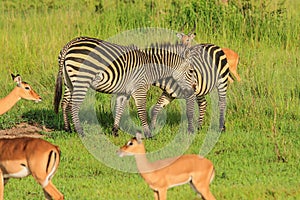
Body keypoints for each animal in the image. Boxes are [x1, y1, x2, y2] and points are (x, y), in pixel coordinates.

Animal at [54, 36, 197, 138]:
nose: (194, 89)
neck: (150, 67)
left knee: (65, 103)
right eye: (191, 71)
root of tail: (69, 44)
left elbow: (119, 109)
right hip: (82, 79)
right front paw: (148, 134)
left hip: (69, 82)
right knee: (74, 105)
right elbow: (141, 111)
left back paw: (68, 129)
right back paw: (81, 132)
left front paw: (115, 131)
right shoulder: (139, 89)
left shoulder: (124, 92)